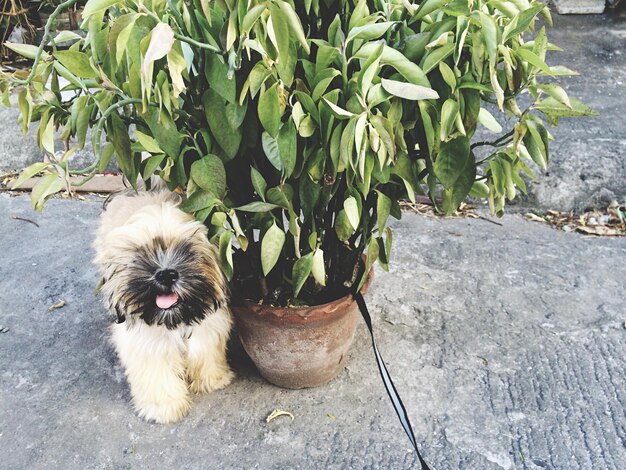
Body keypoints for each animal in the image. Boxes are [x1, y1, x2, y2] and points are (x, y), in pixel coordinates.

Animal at [95, 190, 234, 422]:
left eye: (186, 250)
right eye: (143, 253)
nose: (166, 274)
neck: (175, 320)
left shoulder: (209, 329)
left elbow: (205, 354)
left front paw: (212, 379)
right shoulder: (145, 343)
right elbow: (157, 374)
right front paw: (164, 406)